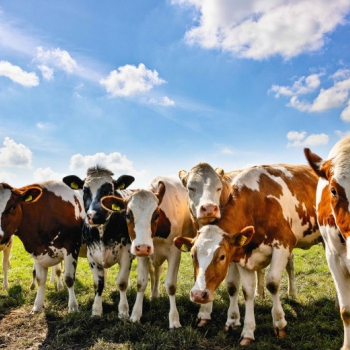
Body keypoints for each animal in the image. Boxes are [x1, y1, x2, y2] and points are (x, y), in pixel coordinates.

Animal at [0, 180, 84, 312]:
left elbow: (69, 278)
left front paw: (73, 307)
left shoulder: (71, 247)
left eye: (12, 206)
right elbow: (40, 279)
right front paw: (37, 305)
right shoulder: (37, 250)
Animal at [62, 165, 135, 318]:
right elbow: (98, 284)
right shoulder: (92, 256)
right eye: (85, 190)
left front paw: (123, 310)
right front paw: (96, 309)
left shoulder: (127, 253)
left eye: (110, 190)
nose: (95, 215)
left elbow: (122, 282)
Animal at [100, 176, 194, 330]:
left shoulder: (175, 253)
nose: (143, 247)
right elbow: (141, 283)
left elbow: (171, 285)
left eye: (156, 215)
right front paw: (136, 314)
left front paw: (174, 319)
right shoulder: (141, 254)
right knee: (155, 271)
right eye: (128, 215)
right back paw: (154, 293)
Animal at [175, 163, 320, 344]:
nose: (198, 294)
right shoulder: (243, 254)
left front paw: (279, 323)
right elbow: (243, 290)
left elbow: (273, 283)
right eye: (193, 255)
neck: (256, 204)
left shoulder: (283, 244)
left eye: (222, 256)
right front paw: (246, 330)